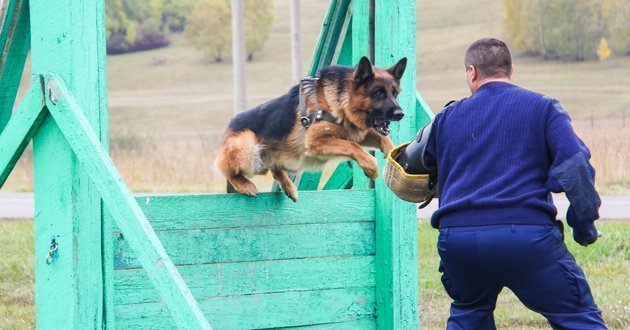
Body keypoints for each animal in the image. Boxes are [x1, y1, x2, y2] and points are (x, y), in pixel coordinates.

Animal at [217, 56, 410, 201]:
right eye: (378, 93)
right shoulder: (316, 141)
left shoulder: (357, 133)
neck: (341, 100)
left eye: (394, 93)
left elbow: (382, 138)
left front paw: (393, 154)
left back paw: (288, 186)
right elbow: (353, 146)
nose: (400, 114)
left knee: (275, 168)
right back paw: (245, 185)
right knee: (226, 171)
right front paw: (371, 166)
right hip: (247, 145)